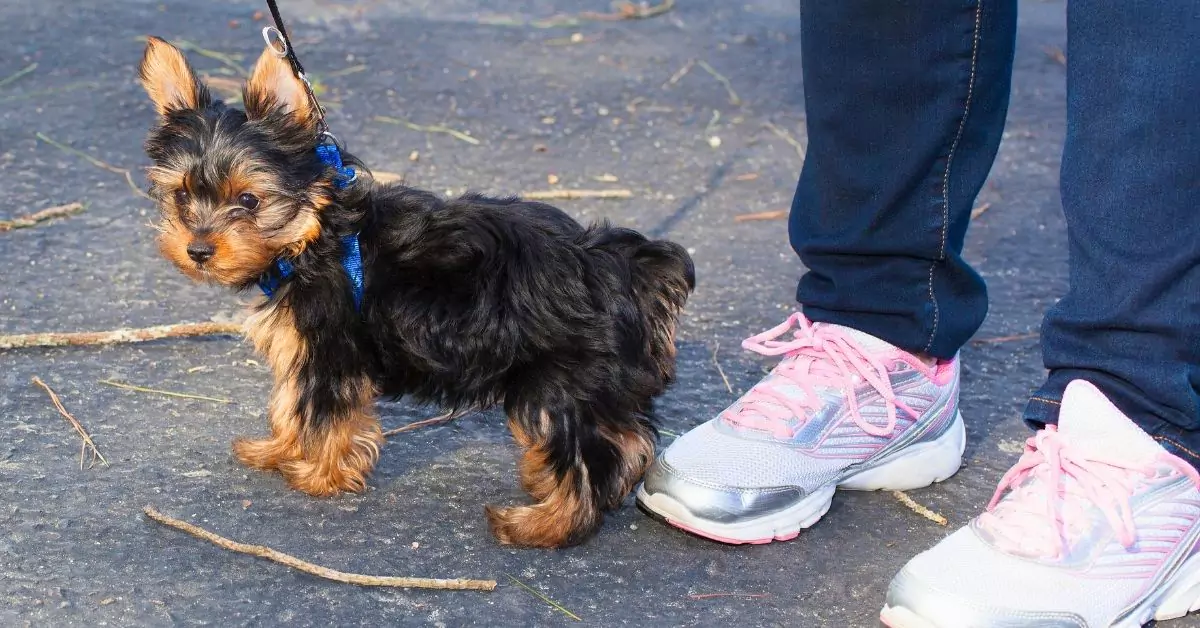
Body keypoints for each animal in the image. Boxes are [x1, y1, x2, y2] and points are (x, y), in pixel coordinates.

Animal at [137, 38, 696, 545]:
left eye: (249, 200)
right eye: (183, 194)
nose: (198, 249)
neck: (314, 231)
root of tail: (625, 266)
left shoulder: (330, 349)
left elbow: (321, 411)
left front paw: (318, 476)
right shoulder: (306, 347)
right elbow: (291, 400)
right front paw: (278, 450)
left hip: (560, 383)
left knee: (585, 456)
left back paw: (543, 525)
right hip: (595, 383)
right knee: (627, 438)